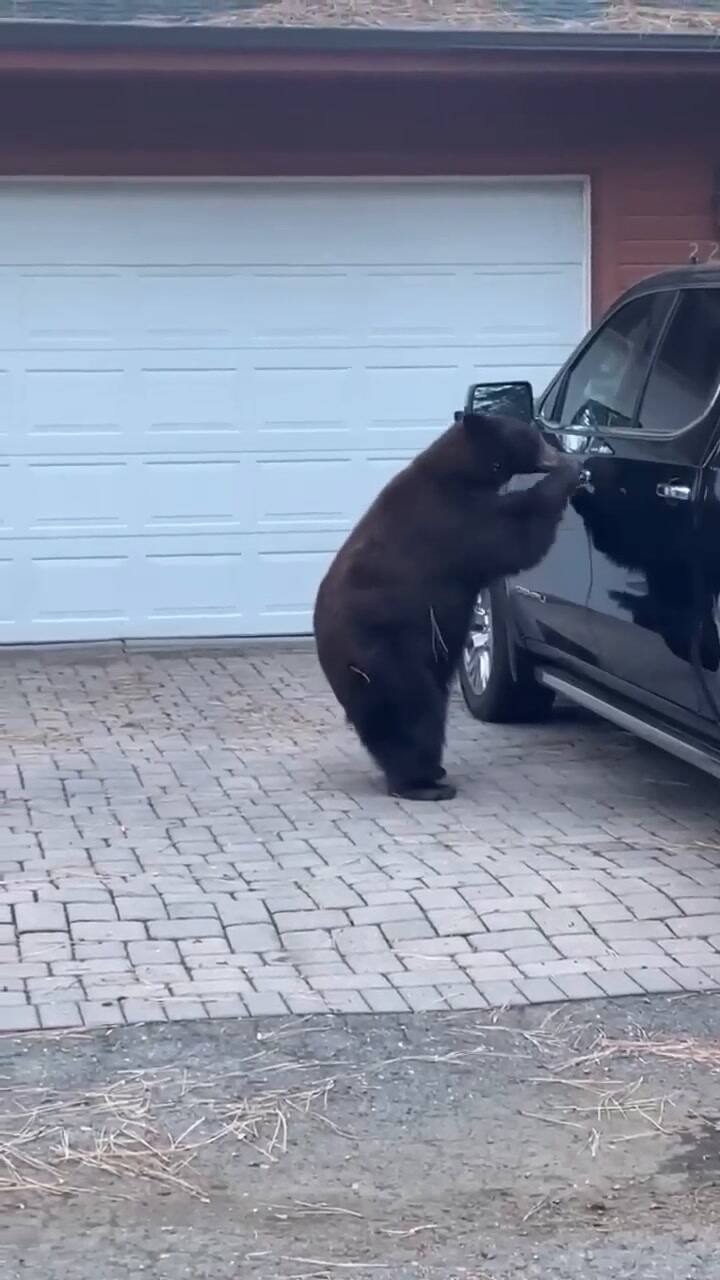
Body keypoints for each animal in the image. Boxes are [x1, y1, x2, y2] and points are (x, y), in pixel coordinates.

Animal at [313, 410, 580, 801]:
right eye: (533, 436)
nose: (560, 453)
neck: (462, 471)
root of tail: (330, 657)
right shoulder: (455, 520)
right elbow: (516, 535)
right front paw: (569, 475)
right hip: (385, 653)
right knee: (414, 708)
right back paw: (422, 783)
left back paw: (427, 772)